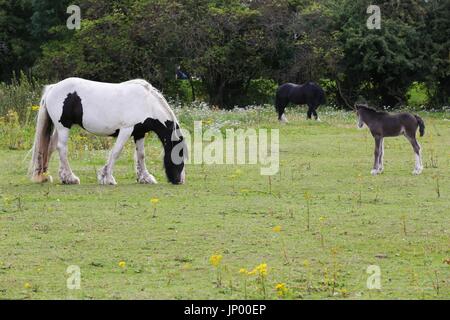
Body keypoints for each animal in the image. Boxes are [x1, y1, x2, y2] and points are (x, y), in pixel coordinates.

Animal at [29, 78, 186, 186]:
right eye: (180, 155)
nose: (179, 180)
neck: (147, 103)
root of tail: (53, 88)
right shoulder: (126, 130)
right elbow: (116, 152)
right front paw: (107, 177)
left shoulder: (139, 133)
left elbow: (141, 155)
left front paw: (145, 178)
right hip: (63, 127)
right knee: (62, 148)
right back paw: (71, 178)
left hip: (59, 128)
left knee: (49, 147)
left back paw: (48, 176)